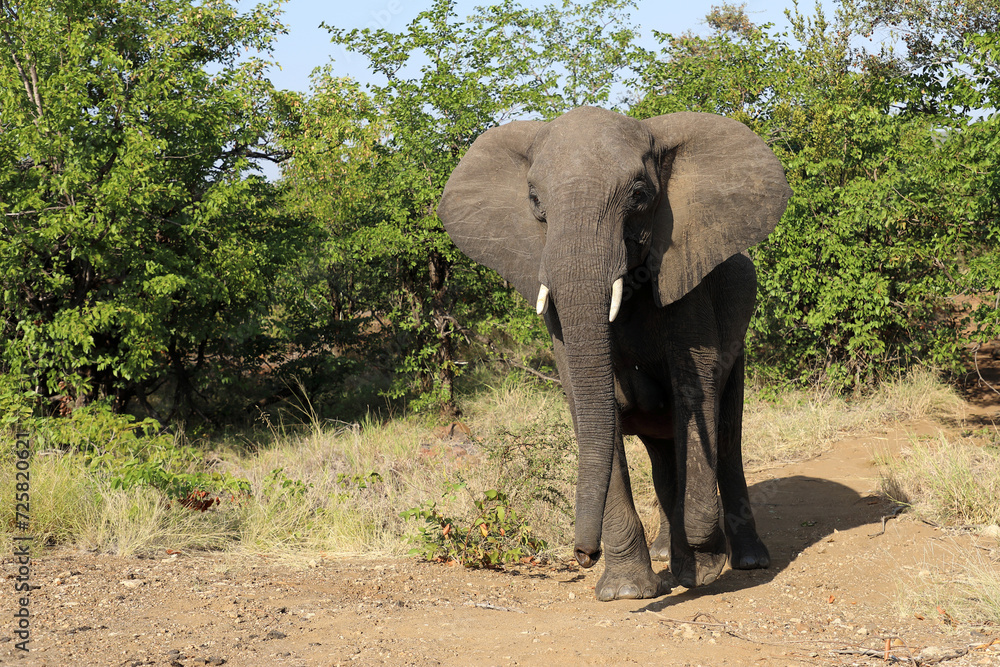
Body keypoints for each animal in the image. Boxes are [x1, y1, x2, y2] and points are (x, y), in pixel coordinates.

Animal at [437, 106, 790, 600]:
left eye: (640, 196)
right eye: (535, 200)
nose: (582, 555)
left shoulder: (686, 279)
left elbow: (695, 393)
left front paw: (701, 569)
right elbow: (589, 409)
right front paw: (627, 592)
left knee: (725, 435)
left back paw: (745, 560)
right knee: (664, 455)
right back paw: (665, 555)